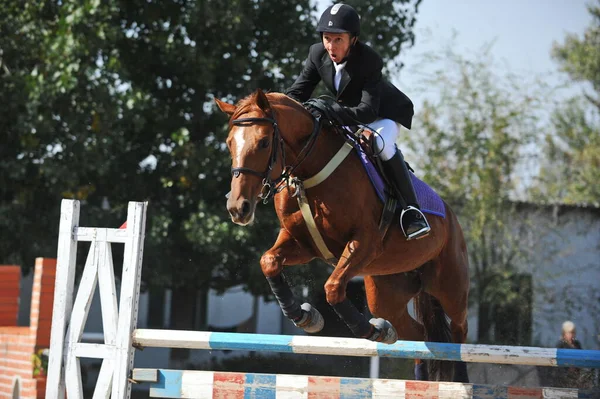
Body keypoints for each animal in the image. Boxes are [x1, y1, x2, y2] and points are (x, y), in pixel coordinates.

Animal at [218, 89, 472, 382]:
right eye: (229, 144)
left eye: (263, 142)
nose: (238, 208)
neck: (309, 171)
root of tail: (451, 216)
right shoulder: (303, 244)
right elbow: (269, 261)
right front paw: (305, 317)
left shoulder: (364, 243)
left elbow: (333, 288)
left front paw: (373, 330)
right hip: (387, 294)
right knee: (418, 336)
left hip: (451, 287)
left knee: (459, 331)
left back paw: (461, 380)